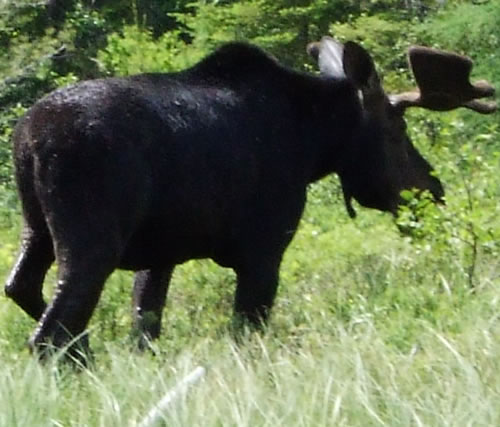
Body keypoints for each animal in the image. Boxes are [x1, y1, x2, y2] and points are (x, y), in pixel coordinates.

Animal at [3, 36, 496, 360]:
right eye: (397, 130)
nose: (433, 190)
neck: (314, 142)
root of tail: (27, 140)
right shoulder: (263, 249)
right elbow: (246, 330)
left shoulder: (162, 253)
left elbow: (146, 325)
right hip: (92, 241)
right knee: (50, 330)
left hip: (37, 228)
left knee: (21, 285)